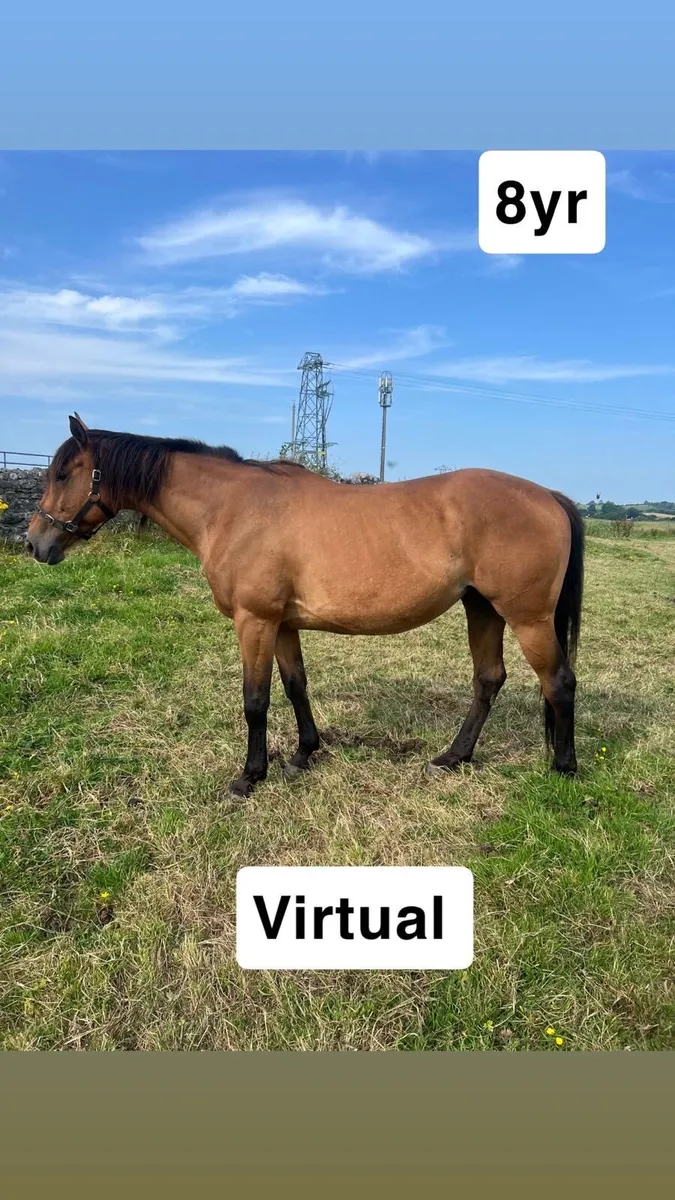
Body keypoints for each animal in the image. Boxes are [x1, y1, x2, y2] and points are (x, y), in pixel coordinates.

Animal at [27, 414, 584, 798]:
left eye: (64, 473)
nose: (35, 543)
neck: (232, 509)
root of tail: (549, 496)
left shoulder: (254, 621)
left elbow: (255, 700)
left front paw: (249, 777)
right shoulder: (282, 624)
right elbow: (296, 686)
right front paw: (302, 754)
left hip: (527, 617)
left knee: (558, 682)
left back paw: (564, 769)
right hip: (482, 608)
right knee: (488, 679)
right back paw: (453, 757)